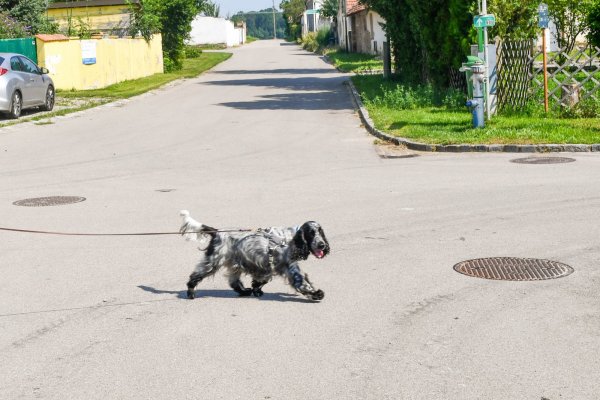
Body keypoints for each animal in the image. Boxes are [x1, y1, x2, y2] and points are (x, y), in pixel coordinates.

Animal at [179, 210, 329, 301]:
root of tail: (217, 232)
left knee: (234, 281)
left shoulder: (271, 266)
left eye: (320, 232)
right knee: (195, 276)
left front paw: (256, 288)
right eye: (311, 233)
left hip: (235, 263)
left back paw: (244, 291)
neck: (290, 239)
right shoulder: (287, 267)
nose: (322, 245)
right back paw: (191, 293)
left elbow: (262, 280)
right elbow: (301, 282)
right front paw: (317, 294)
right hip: (213, 261)